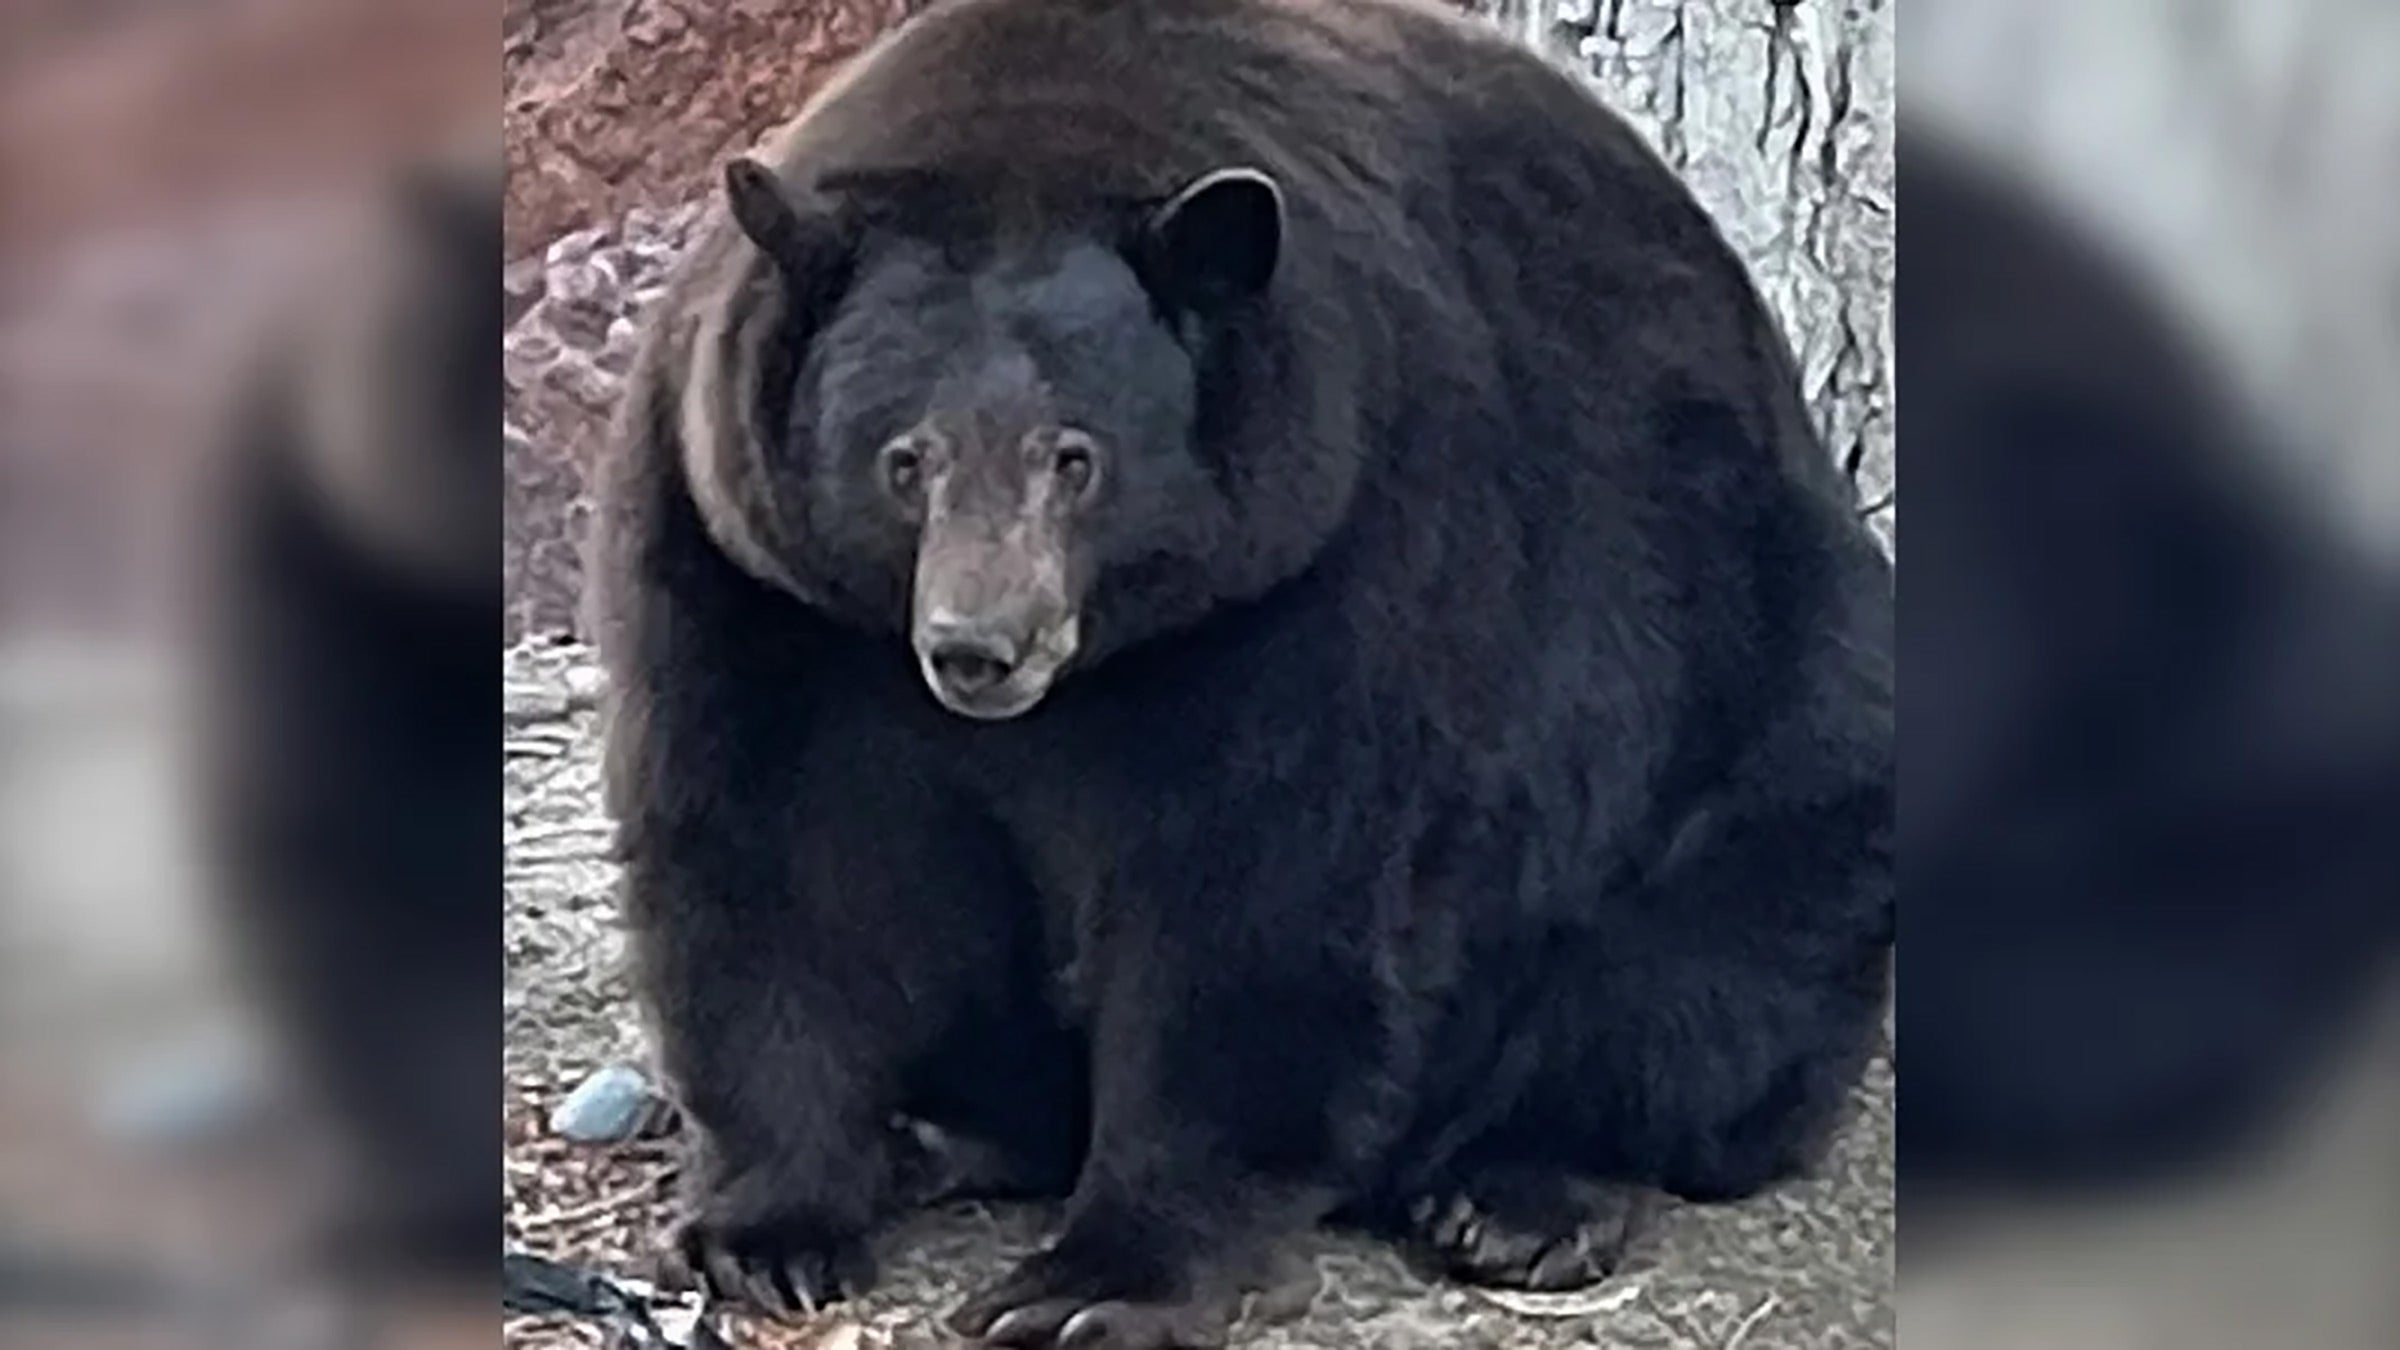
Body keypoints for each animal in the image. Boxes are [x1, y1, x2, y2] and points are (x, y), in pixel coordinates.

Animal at [588, 1, 1893, 1345]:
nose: (978, 646)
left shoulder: (1335, 549)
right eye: (907, 459)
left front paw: (1095, 1280)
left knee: (1708, 962)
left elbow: (1260, 892)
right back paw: (945, 1133)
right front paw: (770, 1227)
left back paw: (1520, 1193)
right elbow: (775, 849)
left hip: (1764, 693)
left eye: (1076, 458)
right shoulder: (753, 572)